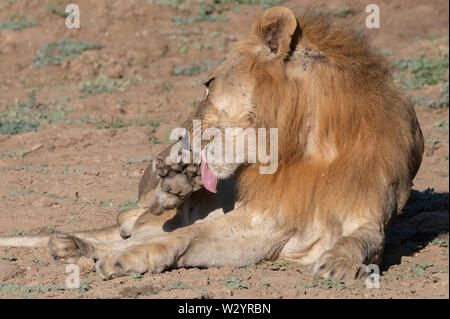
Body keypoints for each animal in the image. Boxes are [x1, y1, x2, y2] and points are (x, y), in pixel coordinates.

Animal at [0, 7, 424, 282]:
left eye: (208, 84)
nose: (181, 134)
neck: (308, 150)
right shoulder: (261, 219)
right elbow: (185, 236)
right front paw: (130, 257)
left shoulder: (367, 215)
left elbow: (364, 240)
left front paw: (340, 261)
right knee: (133, 221)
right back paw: (171, 184)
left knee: (132, 231)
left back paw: (72, 246)